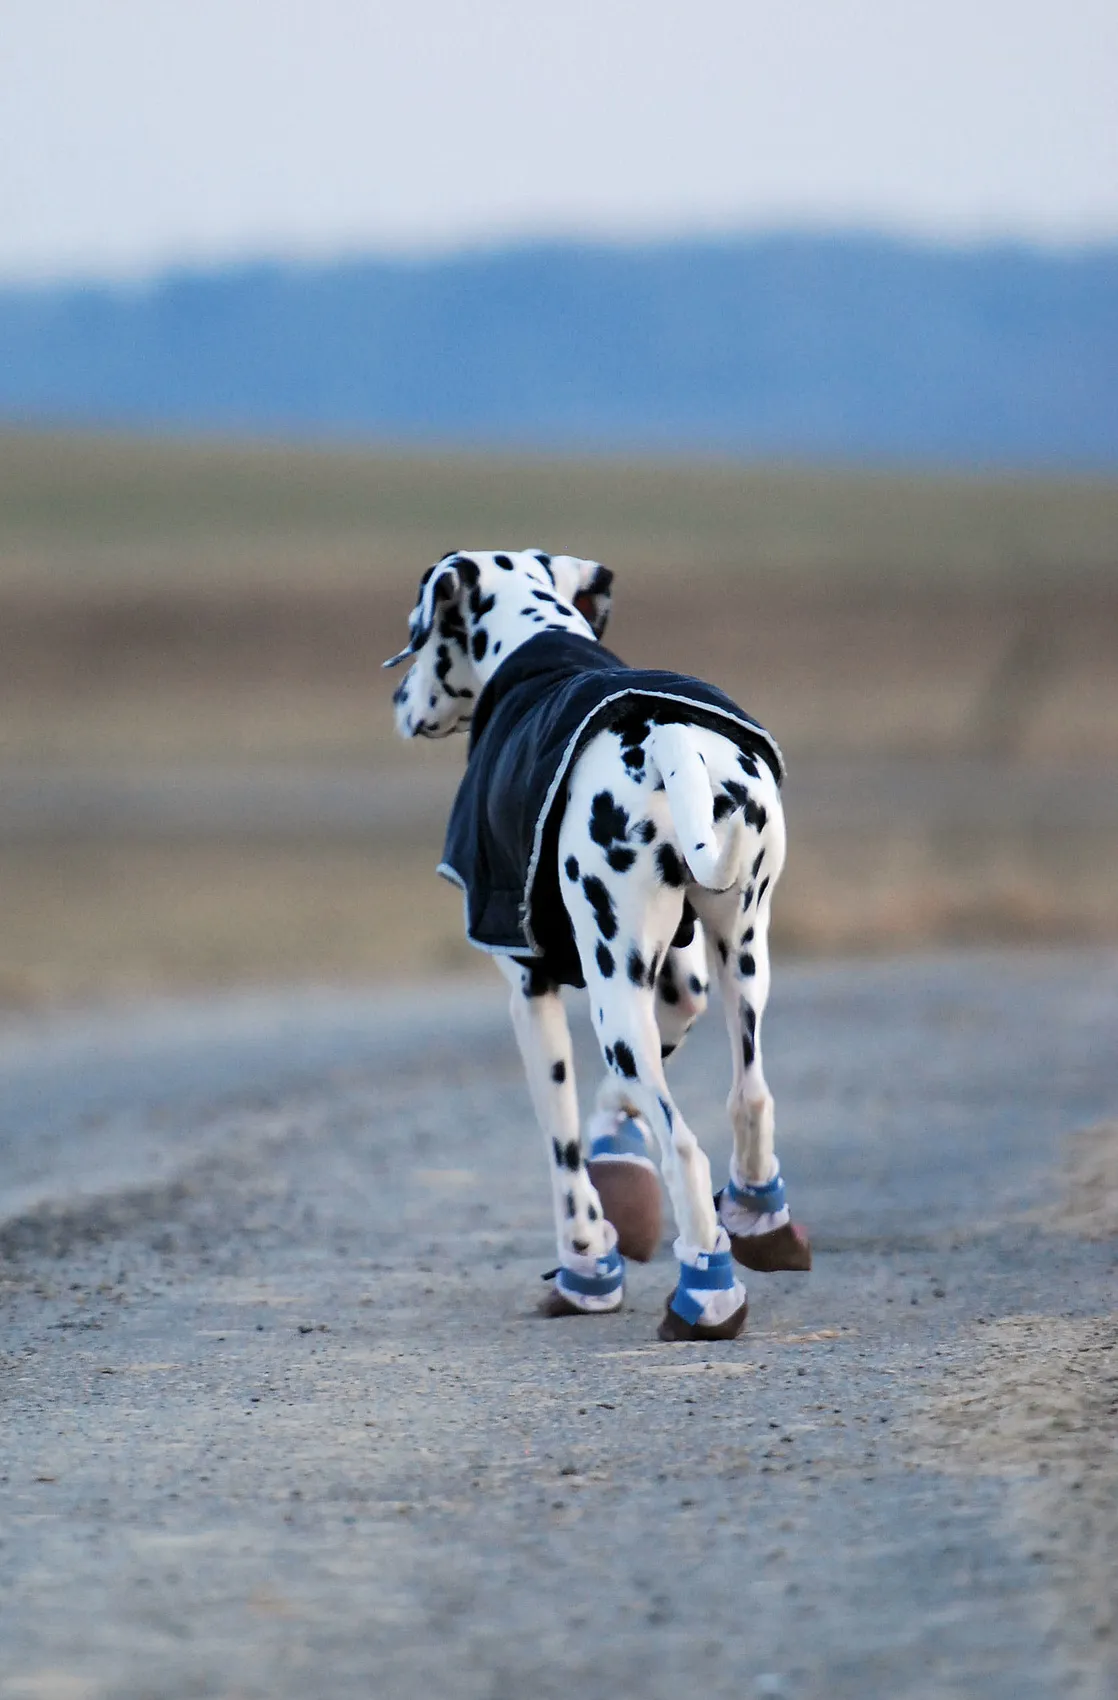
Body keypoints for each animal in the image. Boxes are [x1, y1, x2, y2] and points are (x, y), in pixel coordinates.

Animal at [387, 550, 805, 1332]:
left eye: (420, 631)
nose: (398, 698)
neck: (539, 644)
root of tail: (668, 734)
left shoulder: (531, 991)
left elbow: (565, 1154)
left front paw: (588, 1270)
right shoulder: (677, 983)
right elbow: (629, 1095)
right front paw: (618, 1149)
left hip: (613, 1003)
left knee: (684, 1148)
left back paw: (706, 1296)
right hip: (739, 963)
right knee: (750, 1096)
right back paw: (758, 1219)